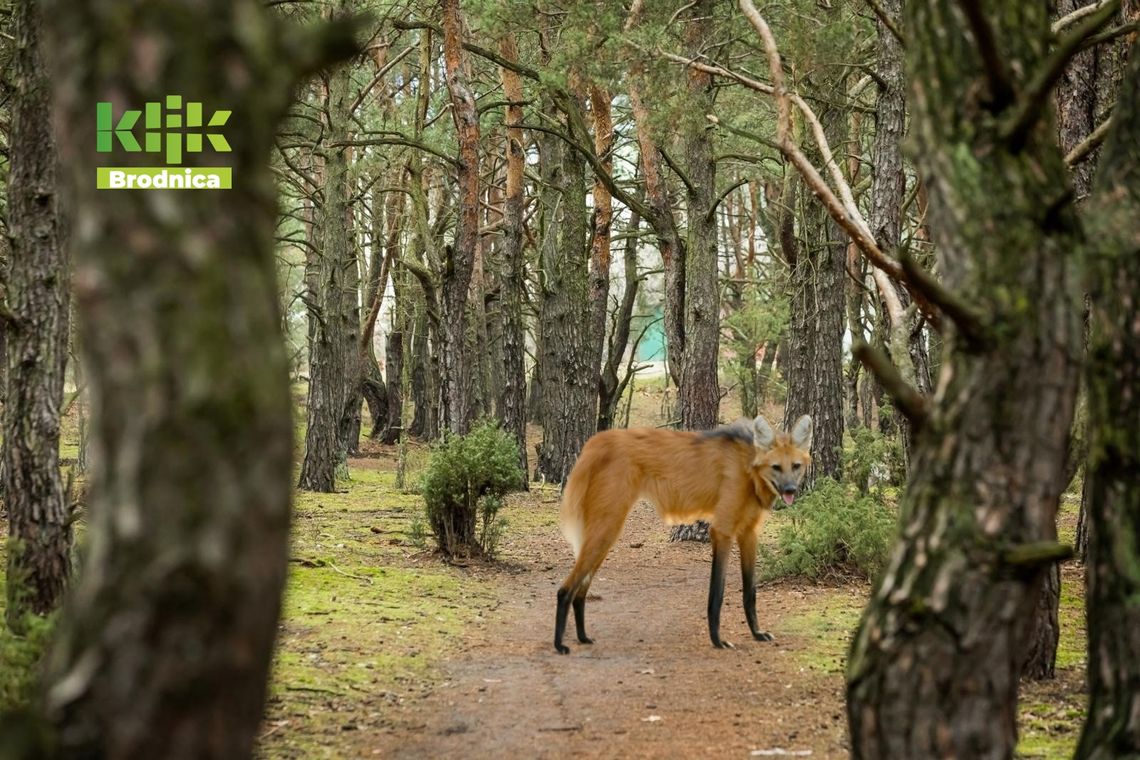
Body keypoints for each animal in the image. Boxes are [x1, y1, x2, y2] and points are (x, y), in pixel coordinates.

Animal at [554, 417, 811, 656]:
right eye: (776, 467)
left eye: (795, 466)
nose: (790, 490)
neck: (748, 467)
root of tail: (597, 441)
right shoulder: (722, 531)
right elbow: (717, 593)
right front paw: (718, 641)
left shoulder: (748, 533)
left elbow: (750, 591)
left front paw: (757, 633)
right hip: (607, 528)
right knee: (565, 589)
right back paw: (559, 645)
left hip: (605, 534)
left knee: (581, 590)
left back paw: (583, 637)